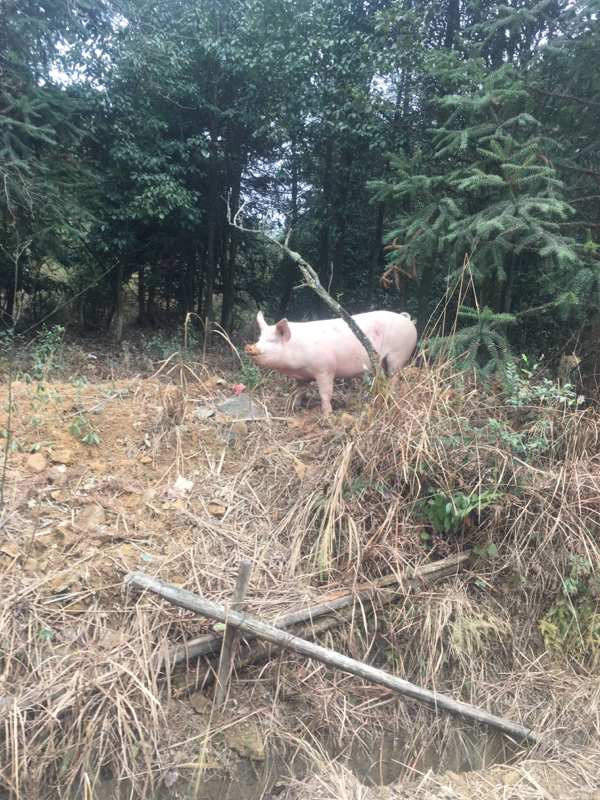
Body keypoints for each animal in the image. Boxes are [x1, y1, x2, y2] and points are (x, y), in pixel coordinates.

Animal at [244, 310, 418, 416]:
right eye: (260, 338)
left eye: (272, 341)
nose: (249, 347)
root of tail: (408, 320)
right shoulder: (301, 376)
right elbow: (299, 391)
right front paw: (295, 407)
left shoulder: (325, 369)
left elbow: (325, 393)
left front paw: (327, 415)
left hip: (398, 355)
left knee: (394, 378)